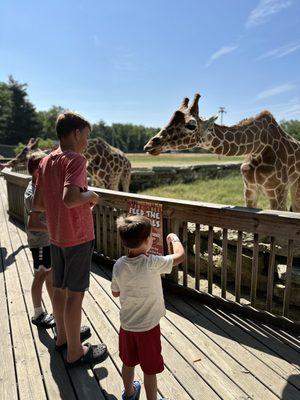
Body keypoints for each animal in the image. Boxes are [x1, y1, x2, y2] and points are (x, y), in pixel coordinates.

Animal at [0, 137, 131, 191]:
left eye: (24, 151)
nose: (9, 162)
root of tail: (127, 160)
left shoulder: (107, 179)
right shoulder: (98, 180)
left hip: (125, 176)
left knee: (125, 190)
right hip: (114, 179)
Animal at [144, 93, 300, 211]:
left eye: (191, 125)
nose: (150, 145)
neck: (258, 148)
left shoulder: (278, 191)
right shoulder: (249, 189)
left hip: (295, 185)